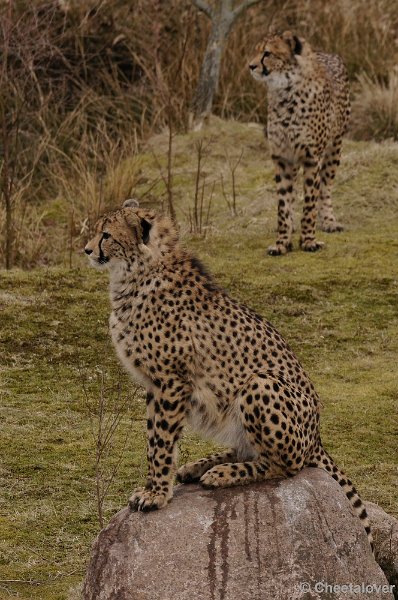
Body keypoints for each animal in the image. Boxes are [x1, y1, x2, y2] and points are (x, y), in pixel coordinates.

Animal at [84, 200, 374, 548]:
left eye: (106, 234)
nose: (87, 250)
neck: (137, 272)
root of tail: (317, 436)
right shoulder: (155, 384)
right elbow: (154, 439)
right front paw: (157, 485)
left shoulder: (171, 381)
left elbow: (162, 441)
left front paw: (156, 494)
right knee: (245, 447)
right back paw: (199, 465)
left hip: (260, 384)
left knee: (285, 464)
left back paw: (223, 473)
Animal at [250, 31, 350, 255]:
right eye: (256, 51)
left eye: (267, 53)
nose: (250, 66)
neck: (285, 91)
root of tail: (326, 53)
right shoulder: (282, 157)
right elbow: (283, 202)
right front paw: (282, 242)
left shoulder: (313, 157)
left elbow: (311, 201)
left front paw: (308, 240)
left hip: (334, 148)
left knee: (326, 188)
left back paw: (329, 221)